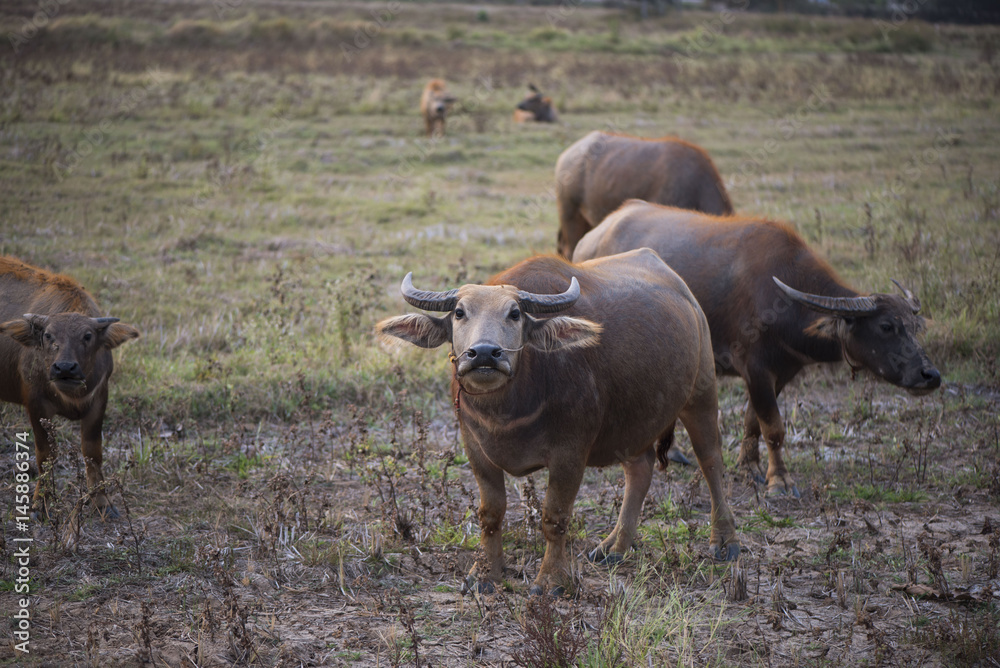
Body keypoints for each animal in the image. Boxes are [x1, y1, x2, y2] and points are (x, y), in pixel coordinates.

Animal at [0, 256, 140, 519]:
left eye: (87, 336)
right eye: (47, 335)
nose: (65, 368)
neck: (72, 396)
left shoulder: (99, 399)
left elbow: (93, 452)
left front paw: (102, 501)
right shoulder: (36, 404)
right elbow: (46, 455)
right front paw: (40, 503)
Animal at [376, 250, 740, 595]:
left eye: (515, 313)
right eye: (459, 313)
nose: (484, 353)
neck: (507, 413)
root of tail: (688, 299)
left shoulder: (570, 452)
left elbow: (555, 517)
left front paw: (552, 580)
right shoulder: (474, 447)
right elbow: (490, 513)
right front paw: (484, 574)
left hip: (702, 393)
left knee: (711, 461)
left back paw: (725, 541)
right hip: (634, 422)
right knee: (641, 469)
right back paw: (614, 546)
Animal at [573, 201, 941, 496]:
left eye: (915, 325)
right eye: (886, 326)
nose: (931, 375)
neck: (781, 301)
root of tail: (588, 241)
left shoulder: (780, 373)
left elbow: (753, 420)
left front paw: (748, 466)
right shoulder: (756, 368)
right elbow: (774, 427)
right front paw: (780, 481)